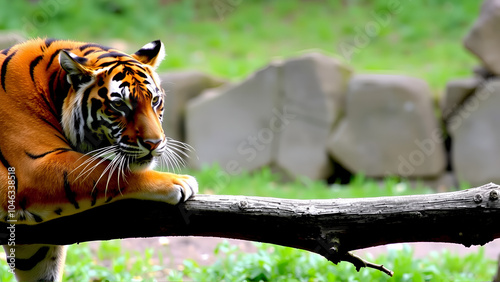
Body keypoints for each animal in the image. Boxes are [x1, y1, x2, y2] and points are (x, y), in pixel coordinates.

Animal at [0, 38, 198, 282]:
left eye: (155, 101)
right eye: (119, 105)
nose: (154, 143)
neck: (51, 88)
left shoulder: (33, 245)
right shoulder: (33, 168)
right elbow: (112, 172)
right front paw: (179, 181)